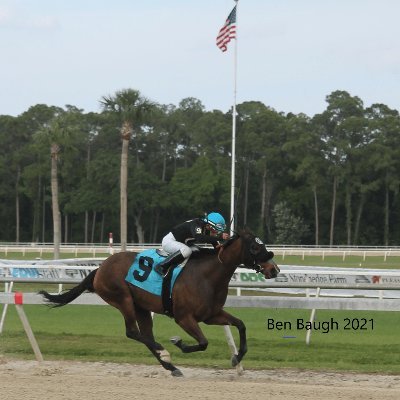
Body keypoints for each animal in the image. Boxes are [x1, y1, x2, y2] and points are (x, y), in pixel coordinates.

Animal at [39, 230, 278, 376]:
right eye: (255, 247)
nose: (274, 269)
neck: (208, 275)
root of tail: (100, 268)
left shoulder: (211, 315)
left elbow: (240, 325)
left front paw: (237, 358)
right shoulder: (184, 318)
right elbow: (202, 342)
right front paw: (178, 342)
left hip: (141, 308)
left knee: (145, 335)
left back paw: (171, 366)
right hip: (123, 299)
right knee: (133, 332)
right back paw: (165, 353)